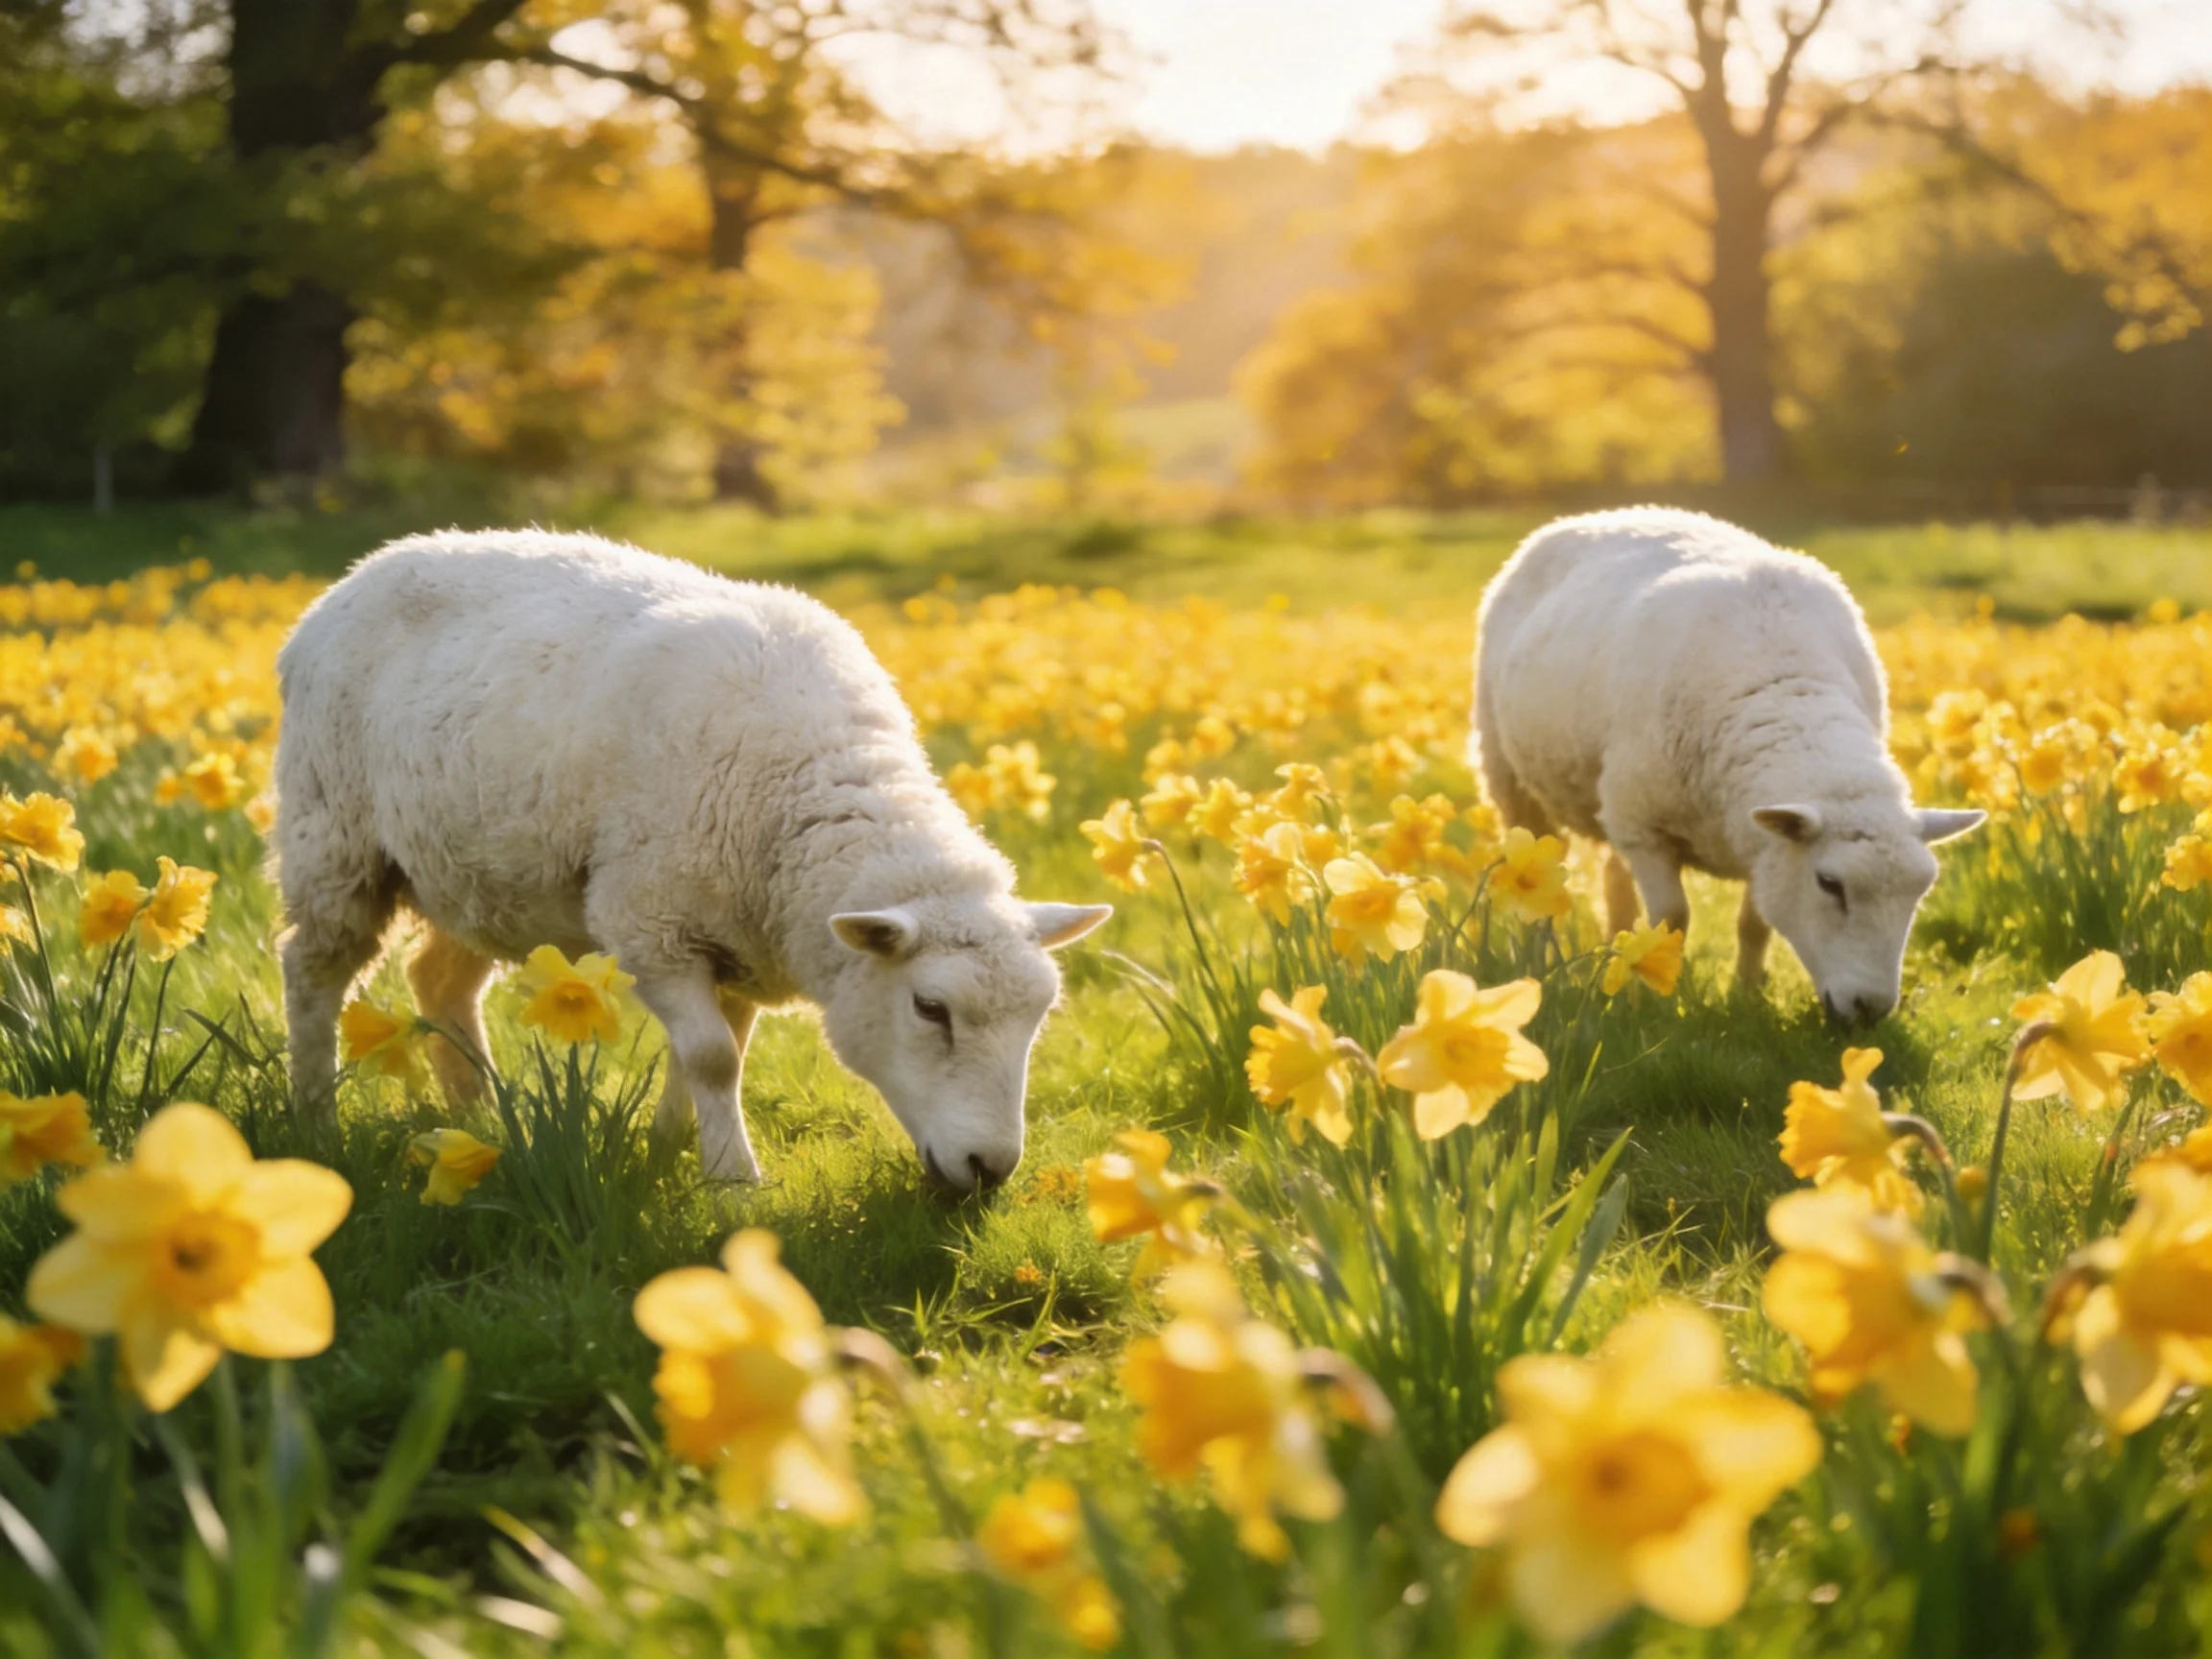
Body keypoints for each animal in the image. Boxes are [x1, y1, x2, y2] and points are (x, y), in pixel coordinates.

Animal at [272, 529, 1111, 1191]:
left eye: (1039, 1017)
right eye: (930, 1008)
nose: (990, 1170)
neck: (804, 789)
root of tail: (359, 573)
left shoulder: (741, 940)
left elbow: (719, 1050)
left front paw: (669, 1148)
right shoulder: (649, 922)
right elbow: (711, 1057)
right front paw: (733, 1180)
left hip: (478, 871)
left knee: (438, 979)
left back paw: (480, 1115)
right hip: (334, 835)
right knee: (312, 970)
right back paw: (316, 1121)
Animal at [1472, 508, 1981, 1022]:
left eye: (1921, 891)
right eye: (1829, 883)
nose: (1870, 1009)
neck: (1786, 687)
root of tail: (1591, 516)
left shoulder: (1764, 846)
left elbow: (1754, 923)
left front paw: (1747, 995)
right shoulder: (1646, 827)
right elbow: (1672, 918)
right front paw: (1665, 999)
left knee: (1615, 881)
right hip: (1512, 777)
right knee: (1538, 883)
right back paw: (1537, 965)